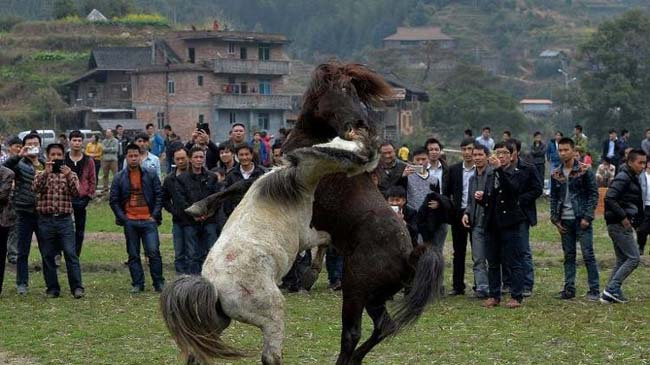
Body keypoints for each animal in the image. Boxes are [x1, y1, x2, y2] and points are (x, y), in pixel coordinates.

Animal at [159, 136, 378, 364]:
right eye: (343, 153)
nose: (371, 154)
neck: (290, 186)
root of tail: (213, 287)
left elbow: (238, 184)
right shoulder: (305, 236)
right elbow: (326, 239)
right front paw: (310, 275)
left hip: (216, 323)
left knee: (196, 353)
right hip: (271, 314)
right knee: (270, 356)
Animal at [280, 62, 442, 364]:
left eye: (355, 91)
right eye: (343, 89)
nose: (361, 124)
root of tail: (407, 257)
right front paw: (310, 271)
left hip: (355, 288)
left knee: (352, 333)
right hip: (375, 297)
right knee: (385, 326)